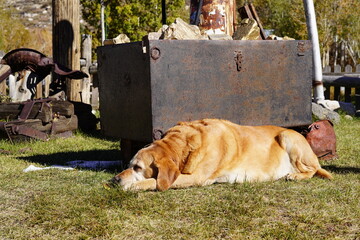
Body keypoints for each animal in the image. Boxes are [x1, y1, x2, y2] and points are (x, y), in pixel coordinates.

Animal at [109, 118, 332, 191]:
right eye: (128, 164)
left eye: (138, 167)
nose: (114, 180)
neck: (185, 145)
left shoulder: (196, 178)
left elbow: (153, 181)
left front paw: (133, 185)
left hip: (287, 137)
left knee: (313, 170)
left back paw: (295, 175)